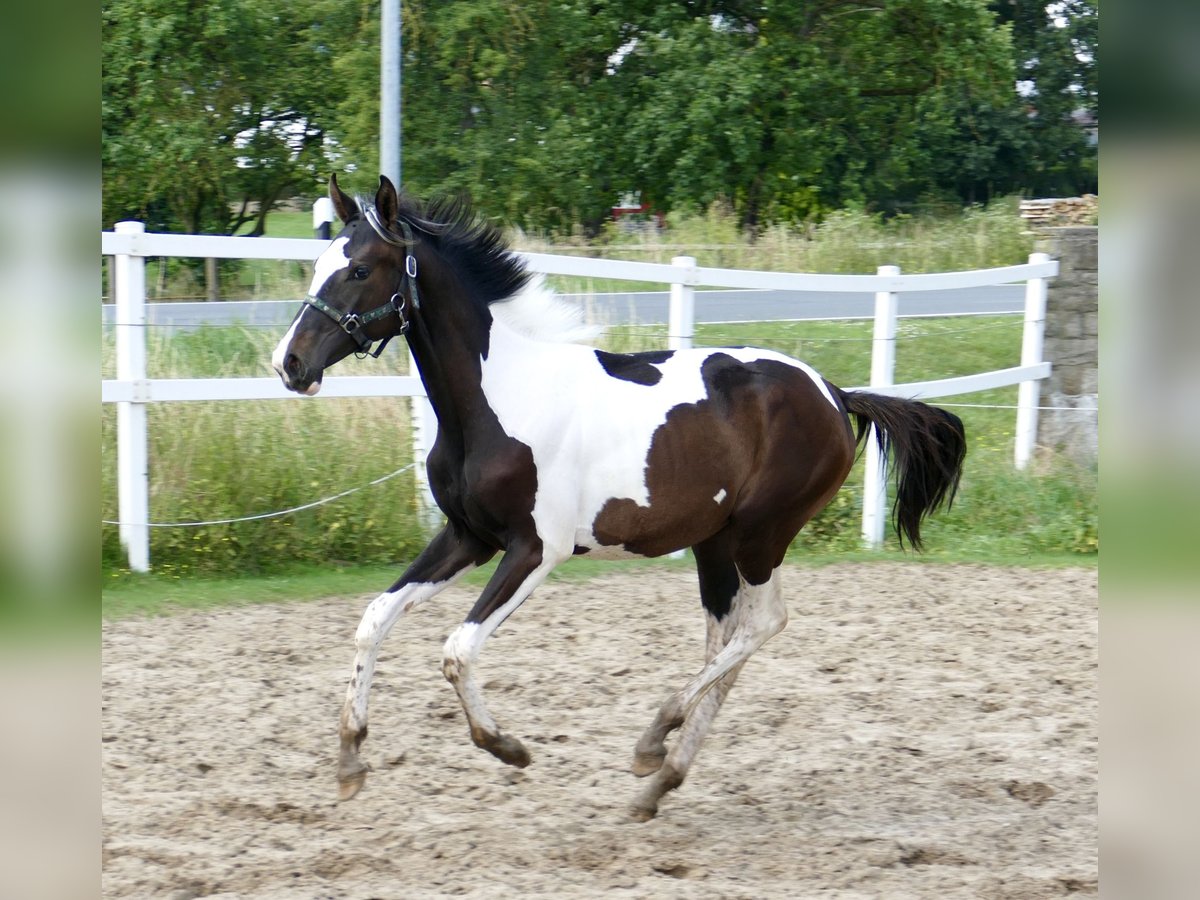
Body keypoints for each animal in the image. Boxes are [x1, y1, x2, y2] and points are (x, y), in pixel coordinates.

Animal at [270, 176, 964, 825]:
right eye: (318, 264)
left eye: (360, 269)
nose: (289, 363)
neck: (498, 397)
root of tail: (834, 393)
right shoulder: (467, 537)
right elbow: (373, 620)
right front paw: (350, 763)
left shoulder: (537, 549)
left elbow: (458, 649)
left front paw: (509, 748)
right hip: (715, 544)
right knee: (728, 641)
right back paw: (661, 781)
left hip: (760, 535)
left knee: (764, 624)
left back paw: (653, 742)